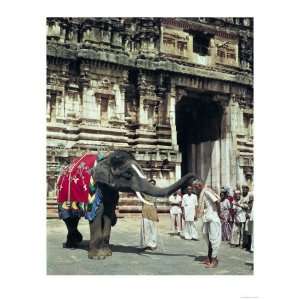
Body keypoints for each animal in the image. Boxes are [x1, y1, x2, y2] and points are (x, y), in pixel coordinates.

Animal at [62, 151, 196, 258]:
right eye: (128, 175)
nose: (194, 178)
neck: (107, 159)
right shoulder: (94, 190)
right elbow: (96, 214)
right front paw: (97, 257)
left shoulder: (111, 191)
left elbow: (108, 215)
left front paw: (107, 253)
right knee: (69, 220)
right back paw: (71, 245)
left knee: (73, 219)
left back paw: (76, 241)